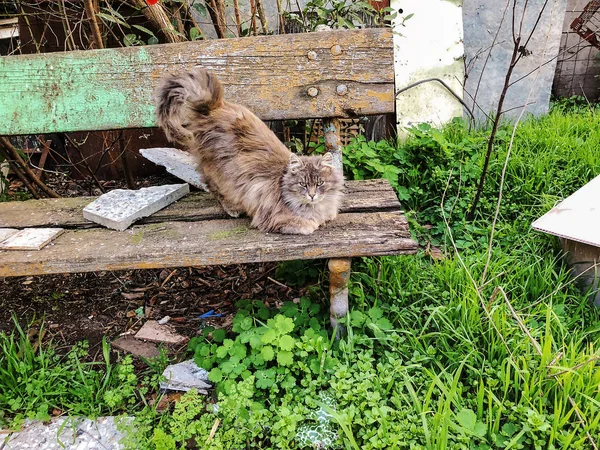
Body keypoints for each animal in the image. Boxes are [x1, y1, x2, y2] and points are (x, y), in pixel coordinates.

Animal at [152, 67, 344, 236]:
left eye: (320, 183)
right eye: (302, 184)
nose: (312, 195)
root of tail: (214, 107)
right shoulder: (274, 217)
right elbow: (305, 224)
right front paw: (312, 223)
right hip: (222, 172)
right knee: (212, 186)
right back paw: (233, 208)